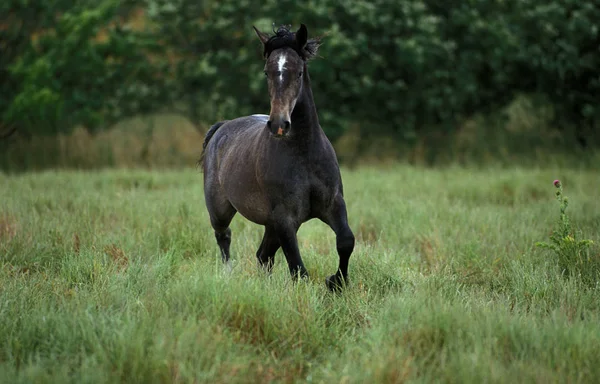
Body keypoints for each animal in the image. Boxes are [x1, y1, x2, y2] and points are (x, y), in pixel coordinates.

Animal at [199, 24, 354, 292]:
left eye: (299, 72)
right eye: (266, 72)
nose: (280, 124)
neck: (304, 155)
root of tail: (222, 126)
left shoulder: (333, 204)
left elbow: (346, 240)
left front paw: (336, 282)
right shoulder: (284, 218)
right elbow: (298, 268)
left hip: (269, 223)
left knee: (263, 255)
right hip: (220, 209)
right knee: (224, 237)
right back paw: (228, 275)